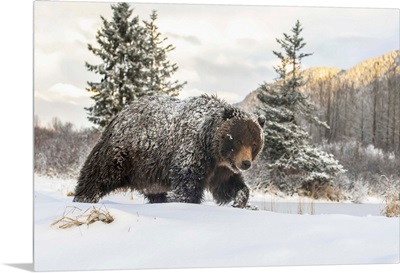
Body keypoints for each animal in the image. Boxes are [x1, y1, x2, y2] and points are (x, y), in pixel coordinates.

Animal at [73, 94, 264, 207]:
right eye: (237, 140)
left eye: (254, 143)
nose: (245, 163)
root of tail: (119, 114)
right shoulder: (193, 152)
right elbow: (187, 184)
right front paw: (184, 201)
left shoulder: (220, 168)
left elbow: (228, 186)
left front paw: (240, 200)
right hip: (123, 153)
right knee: (98, 174)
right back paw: (84, 197)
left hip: (147, 173)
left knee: (154, 191)